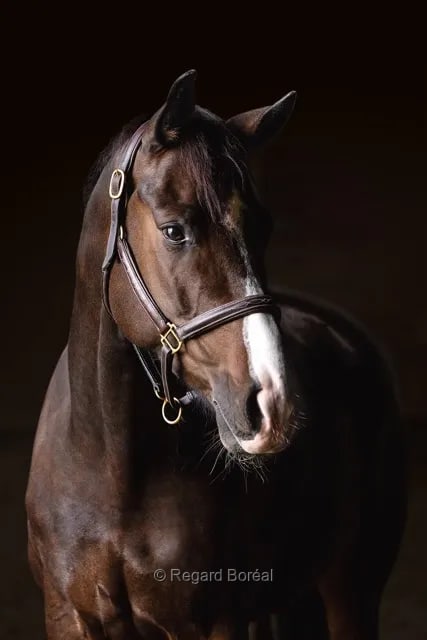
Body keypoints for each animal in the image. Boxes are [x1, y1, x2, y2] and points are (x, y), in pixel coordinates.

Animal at [26, 70, 406, 639]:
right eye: (174, 230)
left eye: (263, 227)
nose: (273, 404)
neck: (109, 466)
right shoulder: (68, 617)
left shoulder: (211, 623)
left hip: (349, 595)